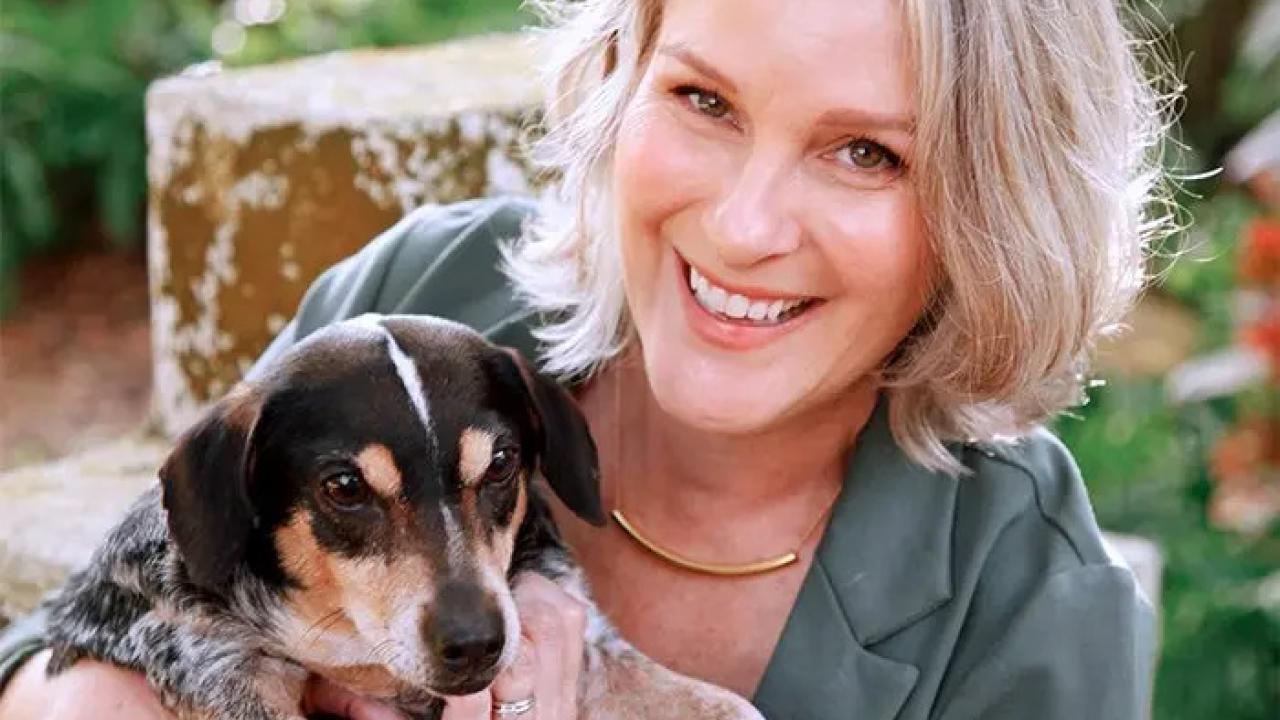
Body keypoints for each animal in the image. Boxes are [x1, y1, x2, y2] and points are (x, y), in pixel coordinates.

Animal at [42, 314, 762, 720]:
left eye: (502, 464)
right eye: (344, 486)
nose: (474, 642)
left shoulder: (589, 644)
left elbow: (724, 705)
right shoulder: (216, 663)